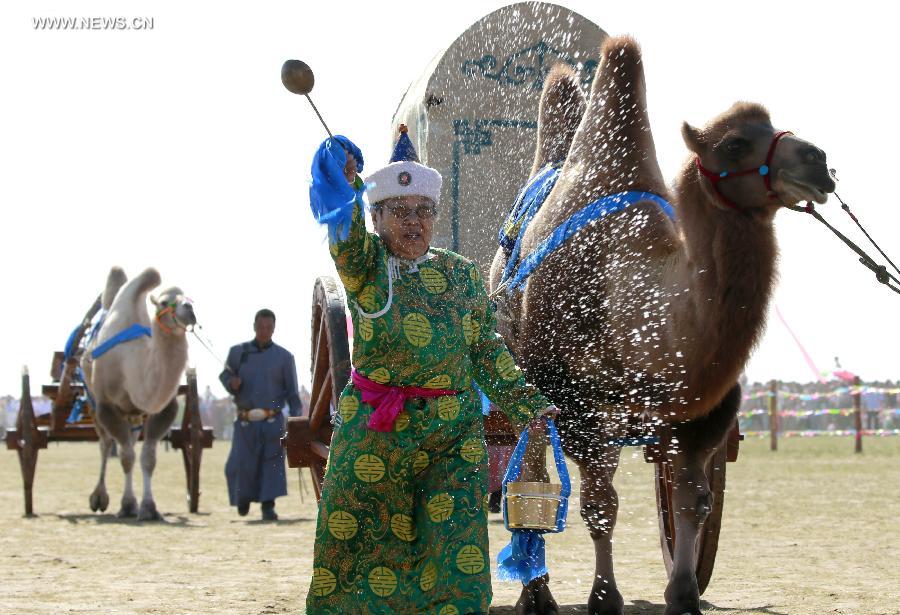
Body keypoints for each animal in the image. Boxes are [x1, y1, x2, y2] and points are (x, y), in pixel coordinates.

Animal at [81, 268, 196, 524]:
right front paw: (127, 505)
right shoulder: (106, 406)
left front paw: (148, 508)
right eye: (163, 302)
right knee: (106, 445)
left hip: (133, 416)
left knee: (130, 442)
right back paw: (99, 498)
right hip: (93, 405)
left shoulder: (163, 408)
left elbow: (148, 458)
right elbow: (126, 457)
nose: (189, 310)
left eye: (189, 297)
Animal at [488, 37, 832, 615]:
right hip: (524, 381)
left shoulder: (703, 413)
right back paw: (537, 595)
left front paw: (684, 593)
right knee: (530, 476)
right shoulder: (582, 408)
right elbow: (599, 503)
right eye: (735, 143)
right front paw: (604, 596)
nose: (819, 160)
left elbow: (693, 499)